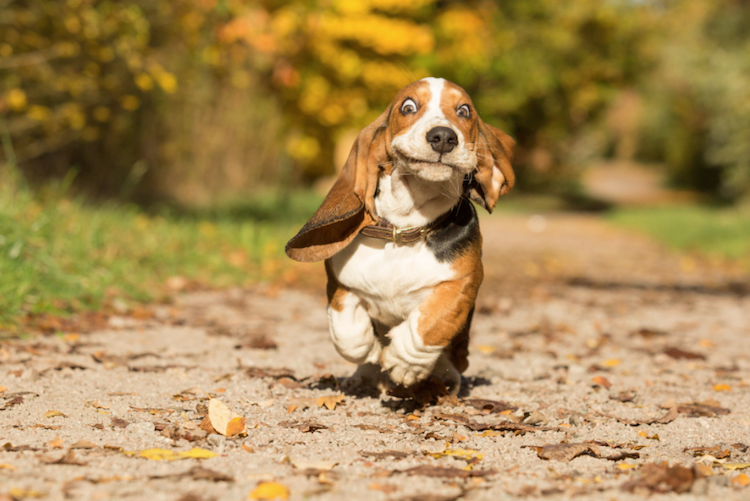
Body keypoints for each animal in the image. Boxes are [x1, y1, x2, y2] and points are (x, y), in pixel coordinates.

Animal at [284, 77, 516, 394]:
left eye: (464, 111)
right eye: (408, 107)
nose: (443, 137)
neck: (404, 228)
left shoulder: (463, 281)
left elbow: (433, 321)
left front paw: (405, 363)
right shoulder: (339, 281)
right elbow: (345, 332)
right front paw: (370, 351)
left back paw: (441, 377)